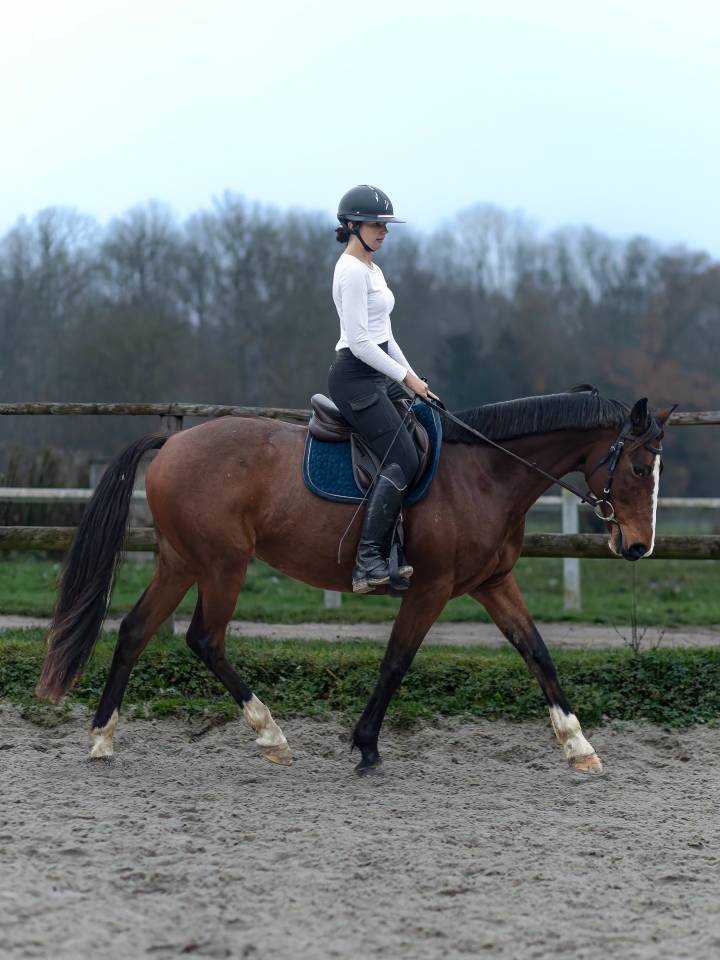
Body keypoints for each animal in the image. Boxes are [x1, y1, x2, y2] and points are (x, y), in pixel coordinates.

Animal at [36, 387, 671, 775]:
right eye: (641, 468)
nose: (637, 547)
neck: (484, 474)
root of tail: (173, 441)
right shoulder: (431, 587)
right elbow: (397, 660)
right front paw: (366, 746)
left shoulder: (493, 583)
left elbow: (537, 652)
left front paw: (579, 746)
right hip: (221, 565)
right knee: (205, 639)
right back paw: (270, 734)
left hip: (181, 561)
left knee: (135, 631)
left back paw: (102, 738)